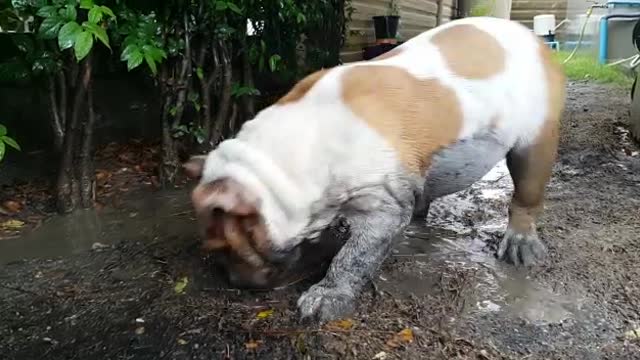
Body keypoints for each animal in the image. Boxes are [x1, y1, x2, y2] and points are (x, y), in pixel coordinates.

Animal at [184, 15, 564, 322]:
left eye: (225, 247)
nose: (234, 282)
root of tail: (531, 36)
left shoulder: (382, 205)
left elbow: (355, 256)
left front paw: (325, 298)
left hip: (536, 141)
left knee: (526, 194)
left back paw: (520, 246)